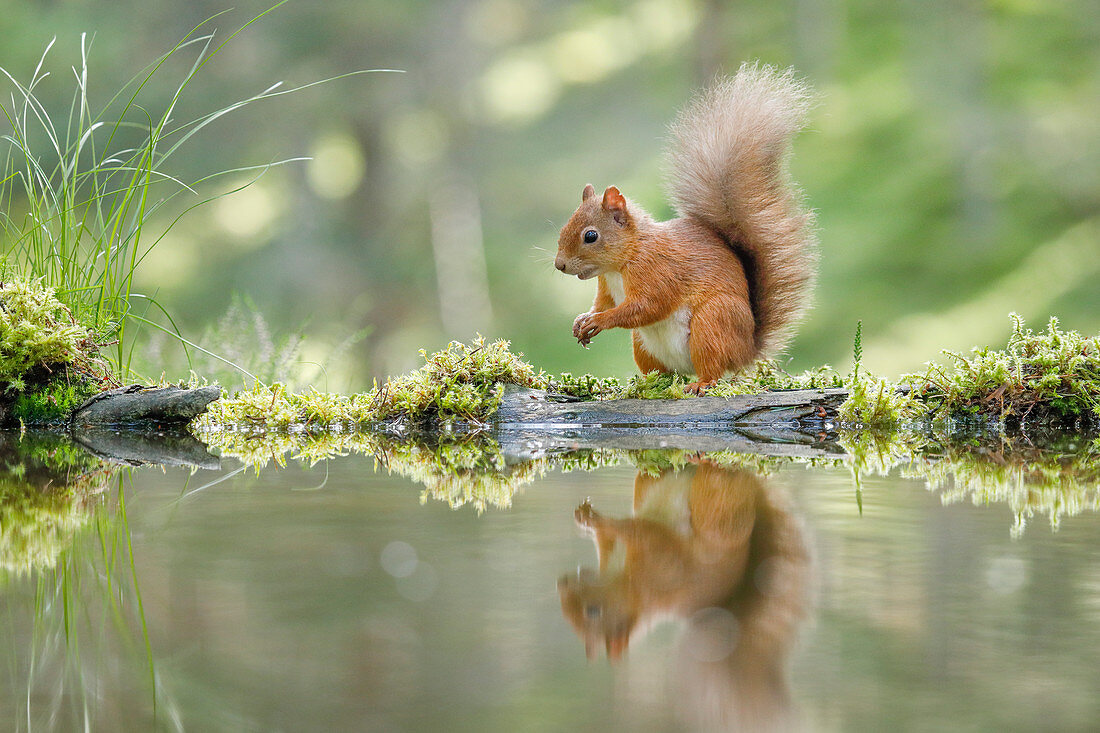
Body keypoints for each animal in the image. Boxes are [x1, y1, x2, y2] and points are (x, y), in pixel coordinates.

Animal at [558, 62, 818, 394]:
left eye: (590, 236)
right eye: (565, 226)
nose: (560, 264)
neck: (623, 262)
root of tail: (746, 350)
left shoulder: (657, 272)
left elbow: (645, 306)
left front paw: (599, 321)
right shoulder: (606, 286)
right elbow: (602, 303)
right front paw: (583, 319)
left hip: (712, 323)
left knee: (713, 369)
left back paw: (700, 383)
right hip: (643, 344)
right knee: (662, 371)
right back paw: (648, 384)